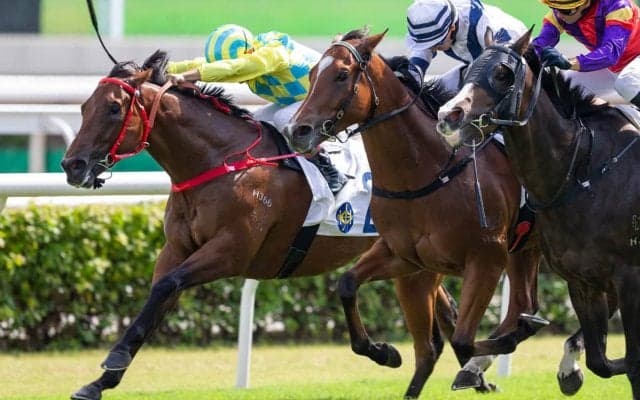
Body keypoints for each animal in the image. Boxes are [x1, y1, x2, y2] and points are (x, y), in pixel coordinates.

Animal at [59, 50, 465, 400]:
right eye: (84, 107)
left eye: (114, 108)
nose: (72, 165)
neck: (219, 161)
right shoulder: (176, 249)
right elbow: (155, 300)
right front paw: (99, 382)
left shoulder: (231, 252)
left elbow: (166, 287)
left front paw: (111, 362)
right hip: (411, 260)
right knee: (446, 320)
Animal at [284, 28, 547, 398]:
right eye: (310, 75)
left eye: (341, 75)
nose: (297, 131)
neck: (426, 171)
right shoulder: (407, 259)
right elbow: (348, 285)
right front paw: (383, 351)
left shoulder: (486, 258)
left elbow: (465, 339)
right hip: (522, 249)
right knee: (506, 312)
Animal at [436, 29, 640, 398]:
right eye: (468, 69)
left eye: (503, 73)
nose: (449, 115)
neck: (583, 170)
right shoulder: (581, 280)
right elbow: (601, 362)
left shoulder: (630, 275)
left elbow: (632, 363)